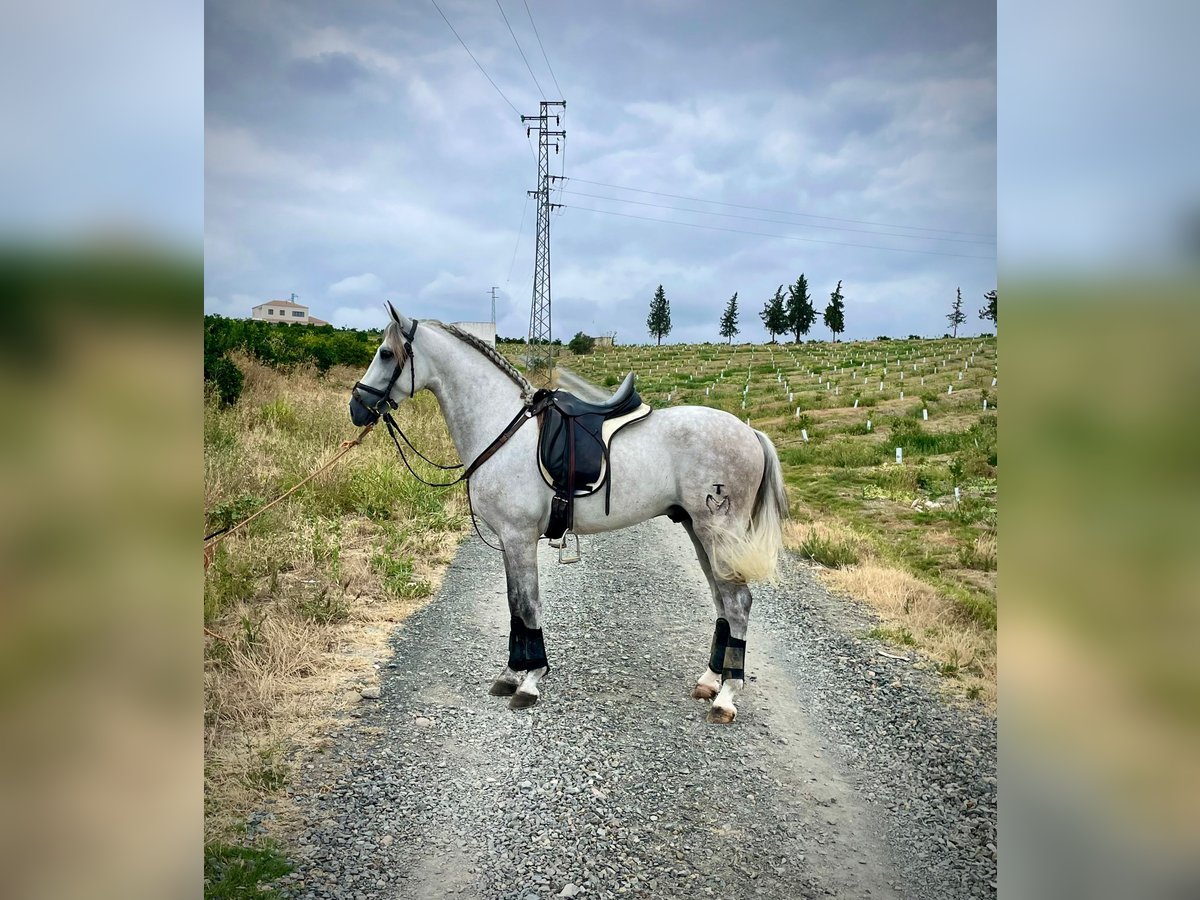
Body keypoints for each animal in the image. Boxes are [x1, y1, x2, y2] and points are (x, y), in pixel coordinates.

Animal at [350, 307, 787, 724]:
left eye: (386, 353)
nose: (357, 407)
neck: (502, 429)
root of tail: (750, 433)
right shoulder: (509, 542)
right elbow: (514, 605)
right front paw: (511, 675)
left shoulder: (519, 537)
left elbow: (527, 605)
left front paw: (529, 681)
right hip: (699, 532)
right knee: (722, 602)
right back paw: (710, 681)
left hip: (718, 532)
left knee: (738, 604)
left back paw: (726, 697)